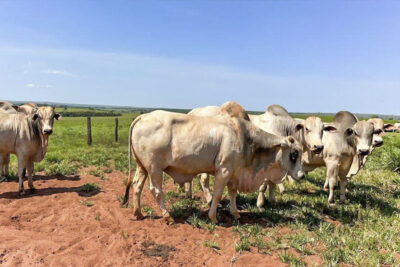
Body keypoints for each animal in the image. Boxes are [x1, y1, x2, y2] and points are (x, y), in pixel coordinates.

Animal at [122, 101, 304, 223]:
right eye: (294, 153)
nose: (302, 176)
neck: (246, 137)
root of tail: (142, 116)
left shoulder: (235, 172)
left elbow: (232, 192)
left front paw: (235, 213)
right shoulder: (223, 170)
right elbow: (217, 194)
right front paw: (213, 216)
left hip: (142, 166)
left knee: (137, 186)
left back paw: (138, 212)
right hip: (154, 168)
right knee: (156, 190)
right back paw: (168, 216)